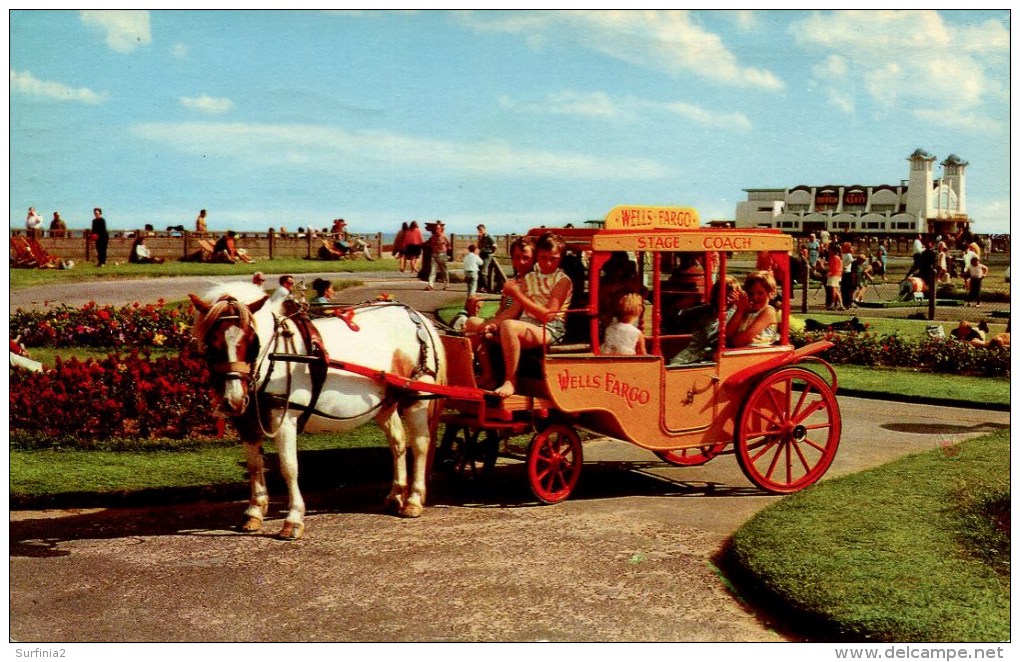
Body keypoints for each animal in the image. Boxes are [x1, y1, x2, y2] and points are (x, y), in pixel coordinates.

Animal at [191, 283, 446, 538]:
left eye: (252, 342)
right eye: (211, 344)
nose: (233, 400)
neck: (274, 357)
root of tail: (416, 316)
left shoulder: (284, 419)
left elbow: (289, 467)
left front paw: (293, 520)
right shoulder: (246, 421)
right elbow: (255, 465)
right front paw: (254, 512)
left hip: (417, 397)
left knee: (420, 445)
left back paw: (413, 500)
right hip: (386, 401)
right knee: (398, 442)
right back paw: (395, 495)